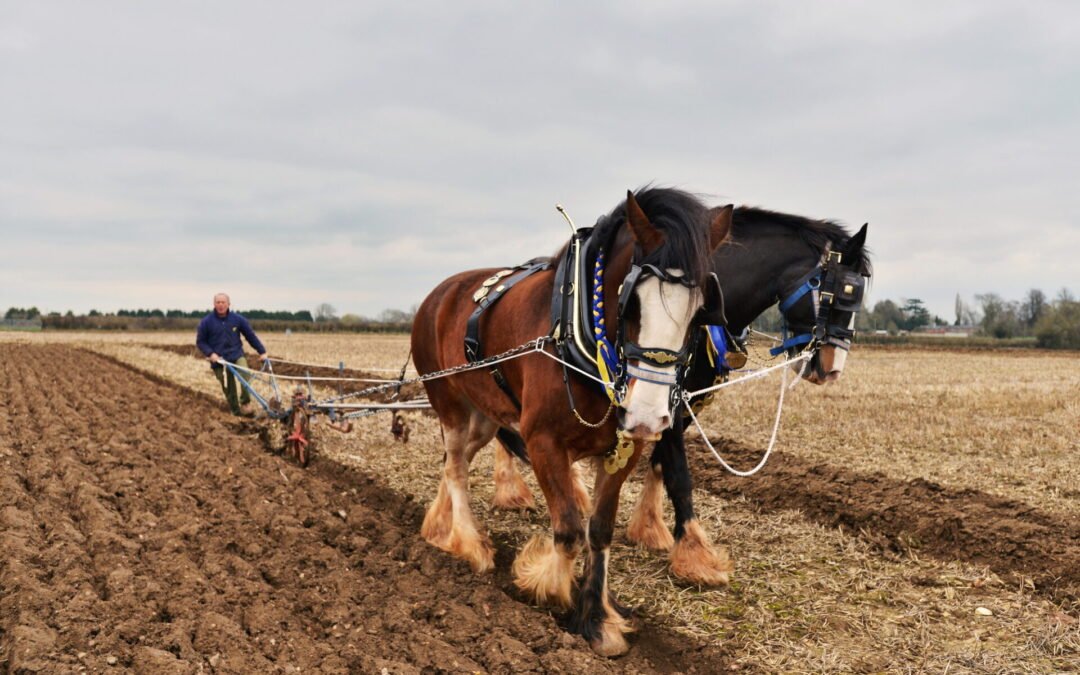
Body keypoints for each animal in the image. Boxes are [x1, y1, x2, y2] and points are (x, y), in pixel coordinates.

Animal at [408, 186, 730, 656]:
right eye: (630, 302)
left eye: (700, 309)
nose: (648, 416)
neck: (582, 335)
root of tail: (440, 292)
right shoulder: (542, 443)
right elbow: (568, 530)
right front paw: (547, 588)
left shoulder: (624, 449)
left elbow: (599, 531)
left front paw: (597, 619)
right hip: (448, 402)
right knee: (456, 468)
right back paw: (470, 545)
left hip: (484, 416)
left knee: (456, 462)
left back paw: (438, 526)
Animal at [494, 205, 872, 583]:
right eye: (843, 292)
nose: (832, 369)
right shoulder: (664, 404)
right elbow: (679, 473)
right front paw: (693, 552)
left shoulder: (683, 404)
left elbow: (662, 462)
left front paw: (649, 527)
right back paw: (514, 490)